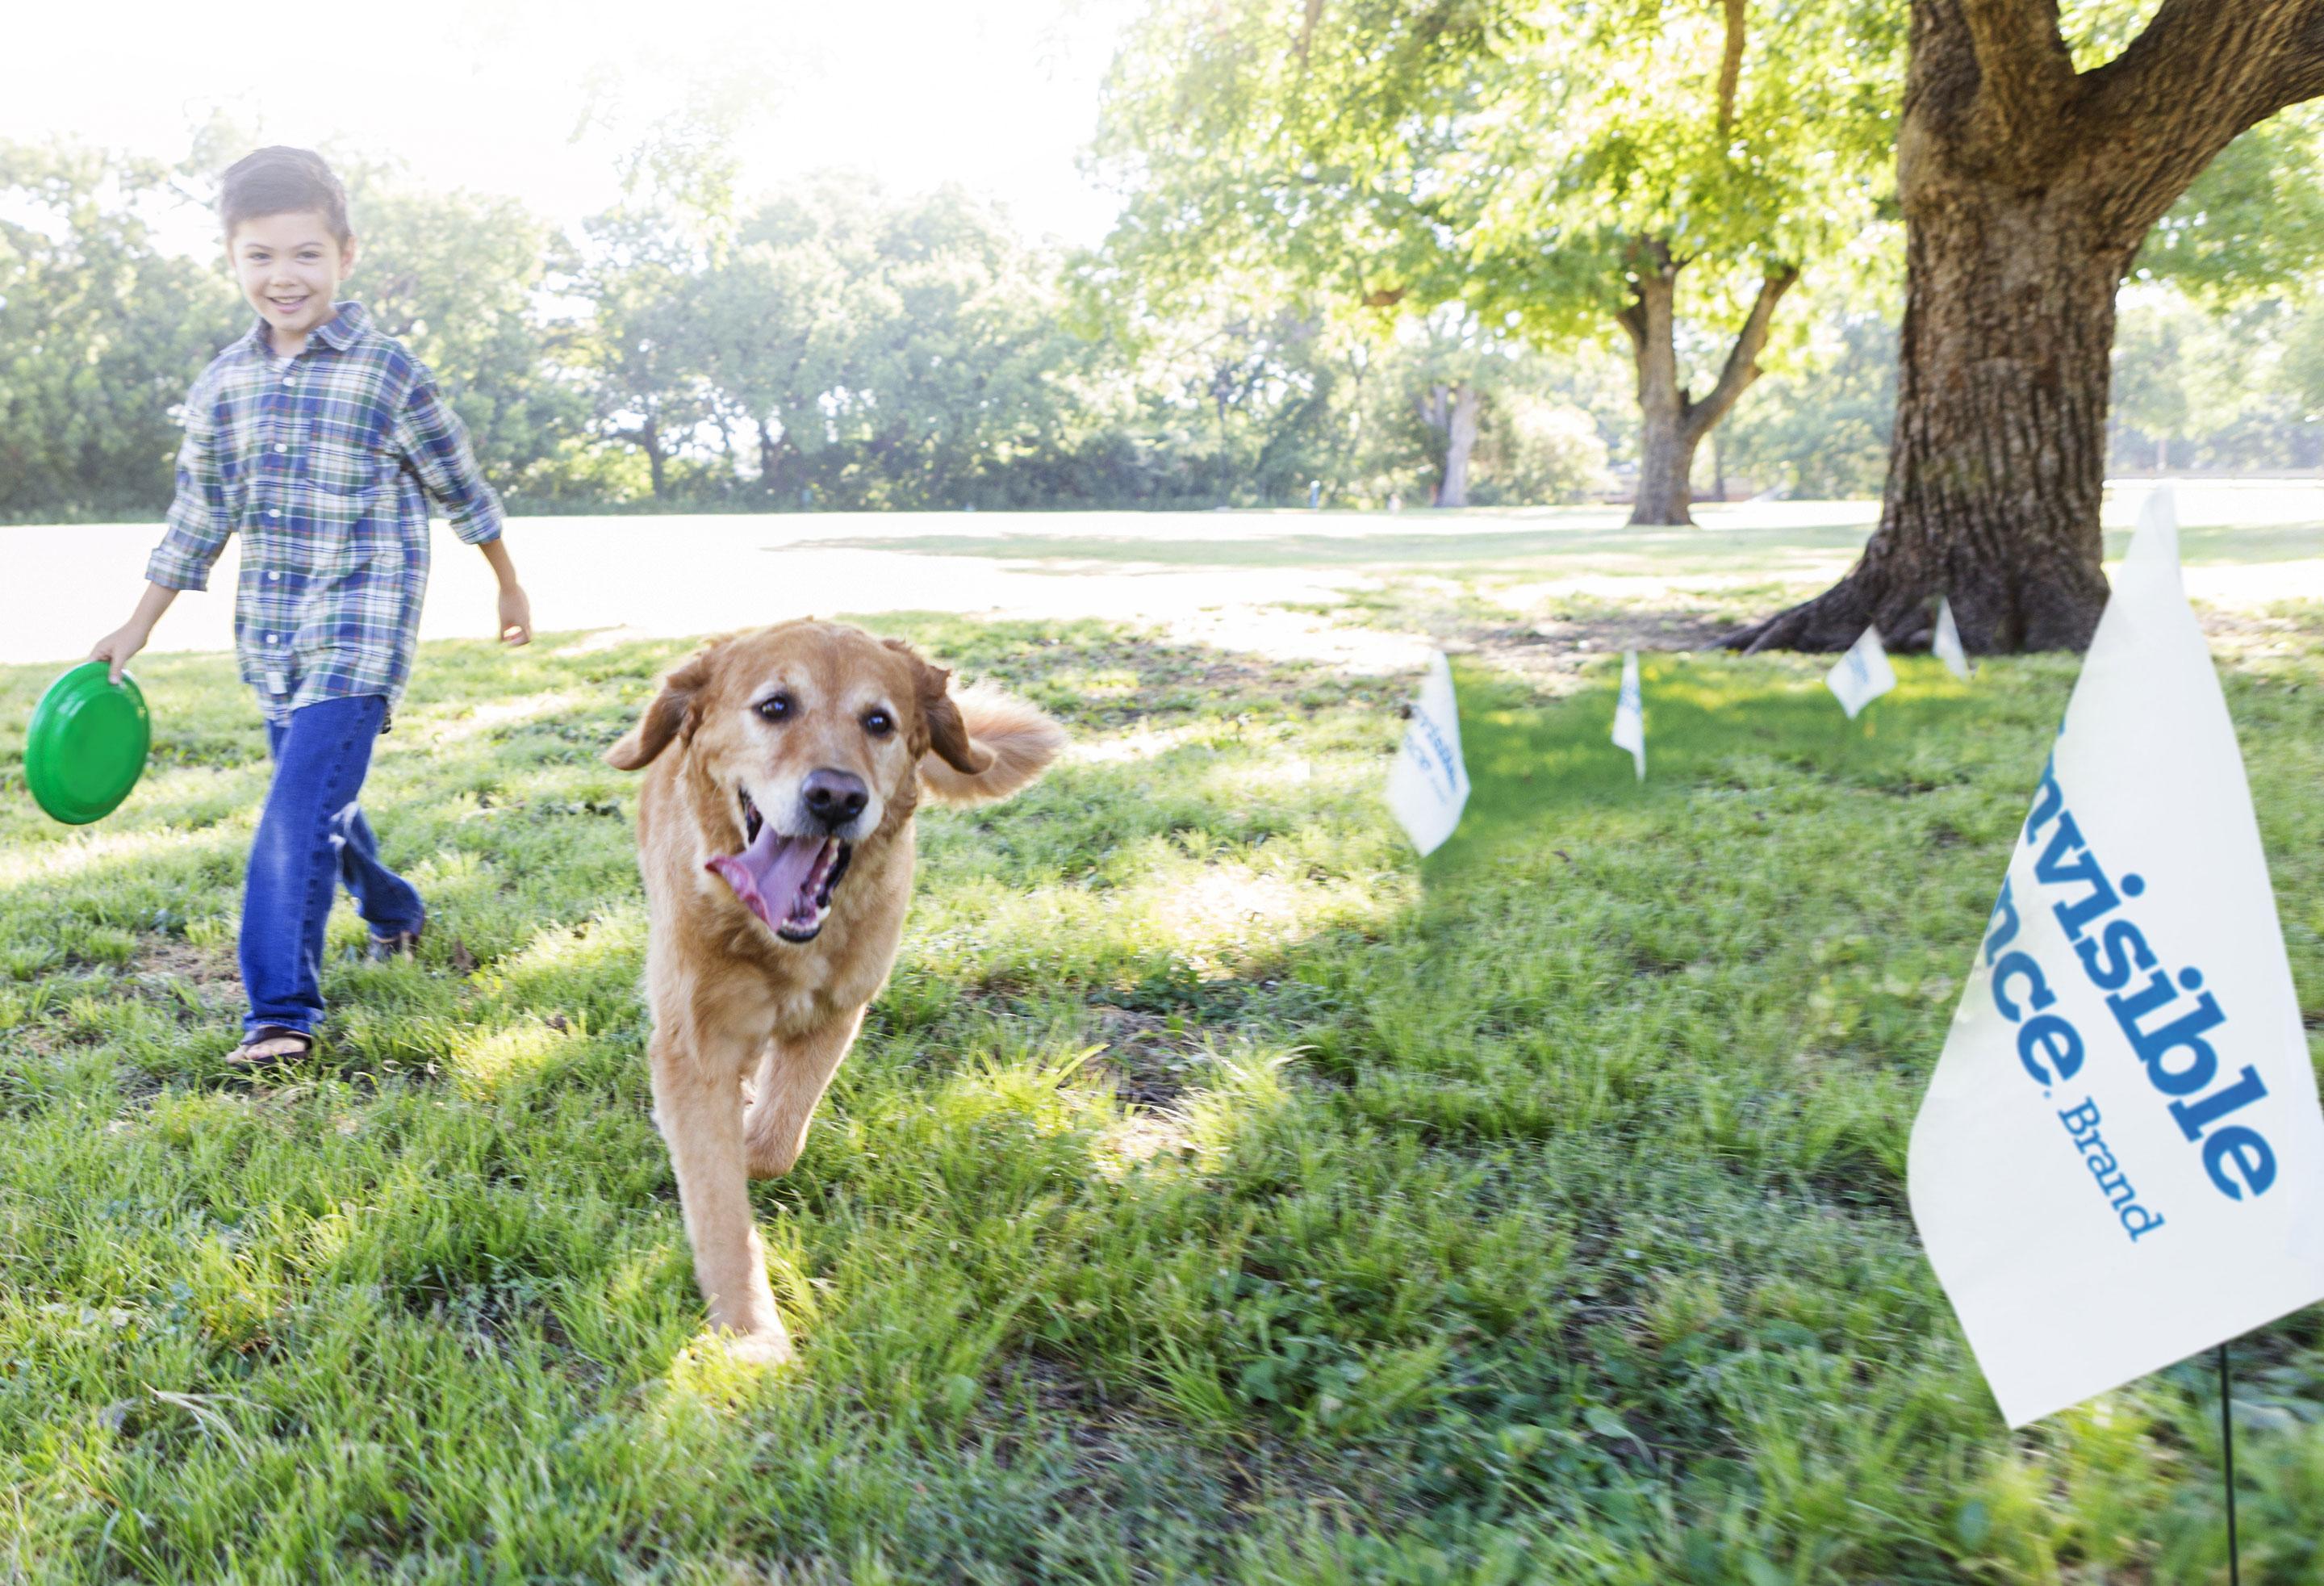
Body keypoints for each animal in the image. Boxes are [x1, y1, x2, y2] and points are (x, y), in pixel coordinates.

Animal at [604, 618, 1064, 1358]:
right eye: (775, 707)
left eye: (878, 721)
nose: (837, 797)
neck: (778, 939)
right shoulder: (693, 1043)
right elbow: (719, 1202)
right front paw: (750, 1333)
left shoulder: (836, 1014)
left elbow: (769, 1145)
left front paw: (751, 1130)